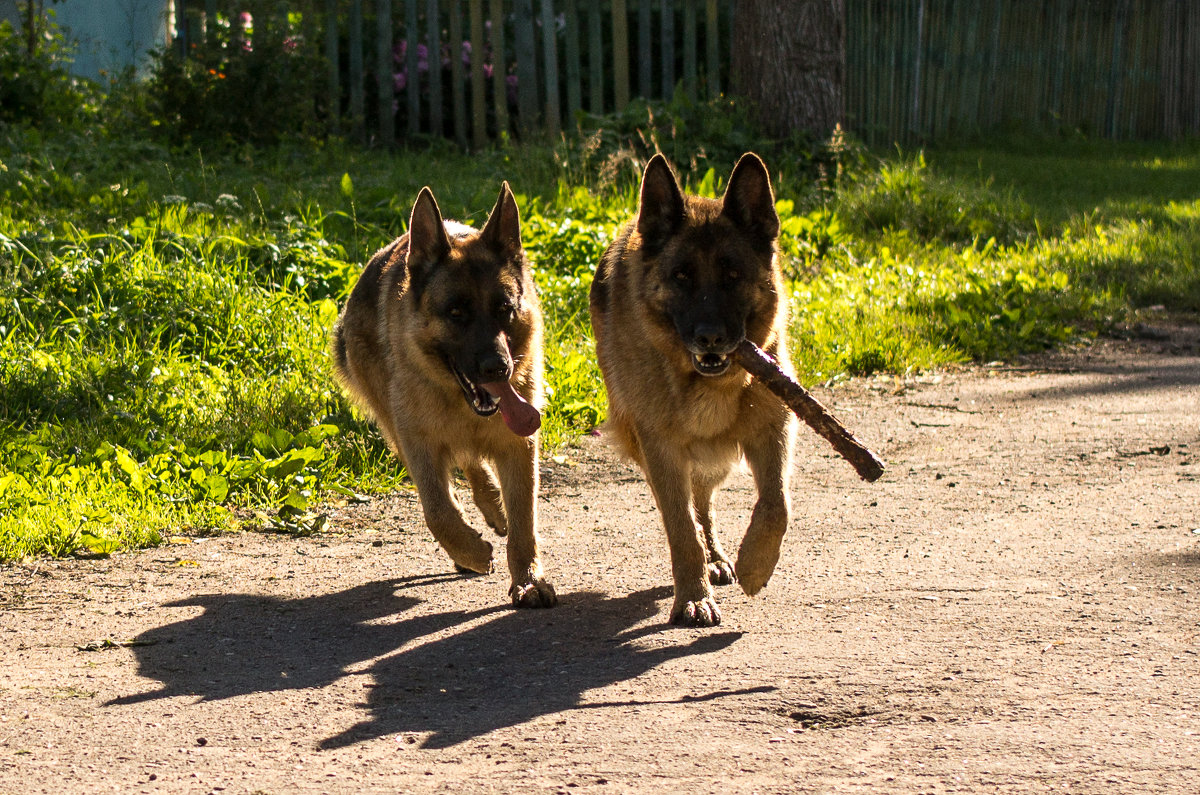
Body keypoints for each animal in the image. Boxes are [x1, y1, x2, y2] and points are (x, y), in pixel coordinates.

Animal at [333, 183, 556, 612]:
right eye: (455, 312)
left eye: (504, 309)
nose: (497, 369)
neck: (463, 405)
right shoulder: (419, 445)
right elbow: (438, 510)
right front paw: (471, 551)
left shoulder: (519, 446)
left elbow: (525, 524)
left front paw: (528, 580)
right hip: (396, 432)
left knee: (474, 465)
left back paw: (494, 506)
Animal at [590, 153, 796, 629]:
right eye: (681, 276)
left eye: (733, 274)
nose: (711, 338)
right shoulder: (661, 449)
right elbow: (681, 529)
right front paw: (693, 597)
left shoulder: (773, 427)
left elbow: (776, 503)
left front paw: (755, 565)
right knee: (689, 511)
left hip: (714, 459)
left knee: (704, 500)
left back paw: (718, 557)